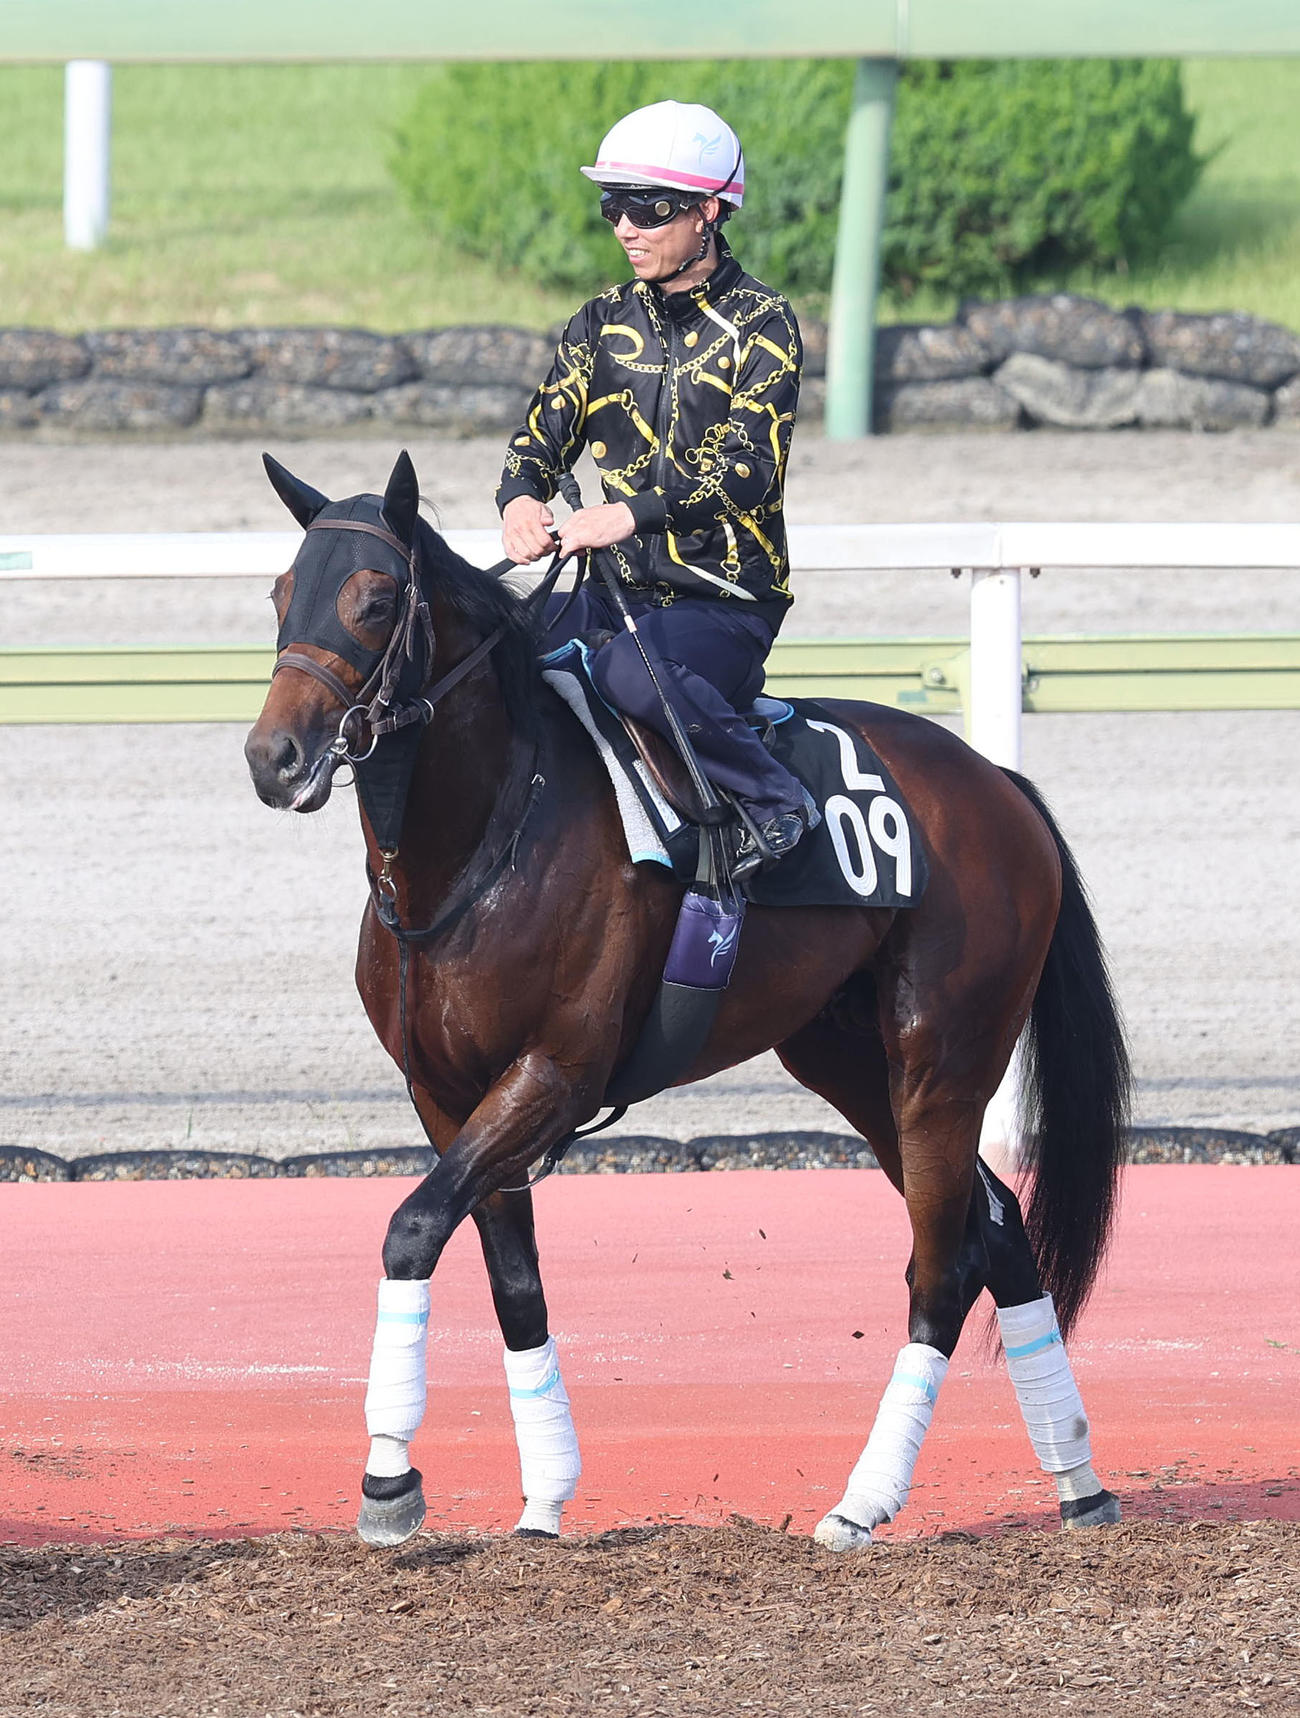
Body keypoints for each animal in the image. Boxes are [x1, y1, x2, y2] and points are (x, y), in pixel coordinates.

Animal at [244, 450, 1130, 1552]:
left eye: (371, 599)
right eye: (280, 592)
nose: (272, 757)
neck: (487, 838)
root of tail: (1000, 784)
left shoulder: (554, 1073)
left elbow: (410, 1229)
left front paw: (388, 1480)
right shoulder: (444, 1094)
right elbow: (512, 1283)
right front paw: (542, 1498)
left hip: (942, 1059)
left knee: (940, 1265)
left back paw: (862, 1500)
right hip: (847, 1062)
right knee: (998, 1224)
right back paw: (1078, 1479)